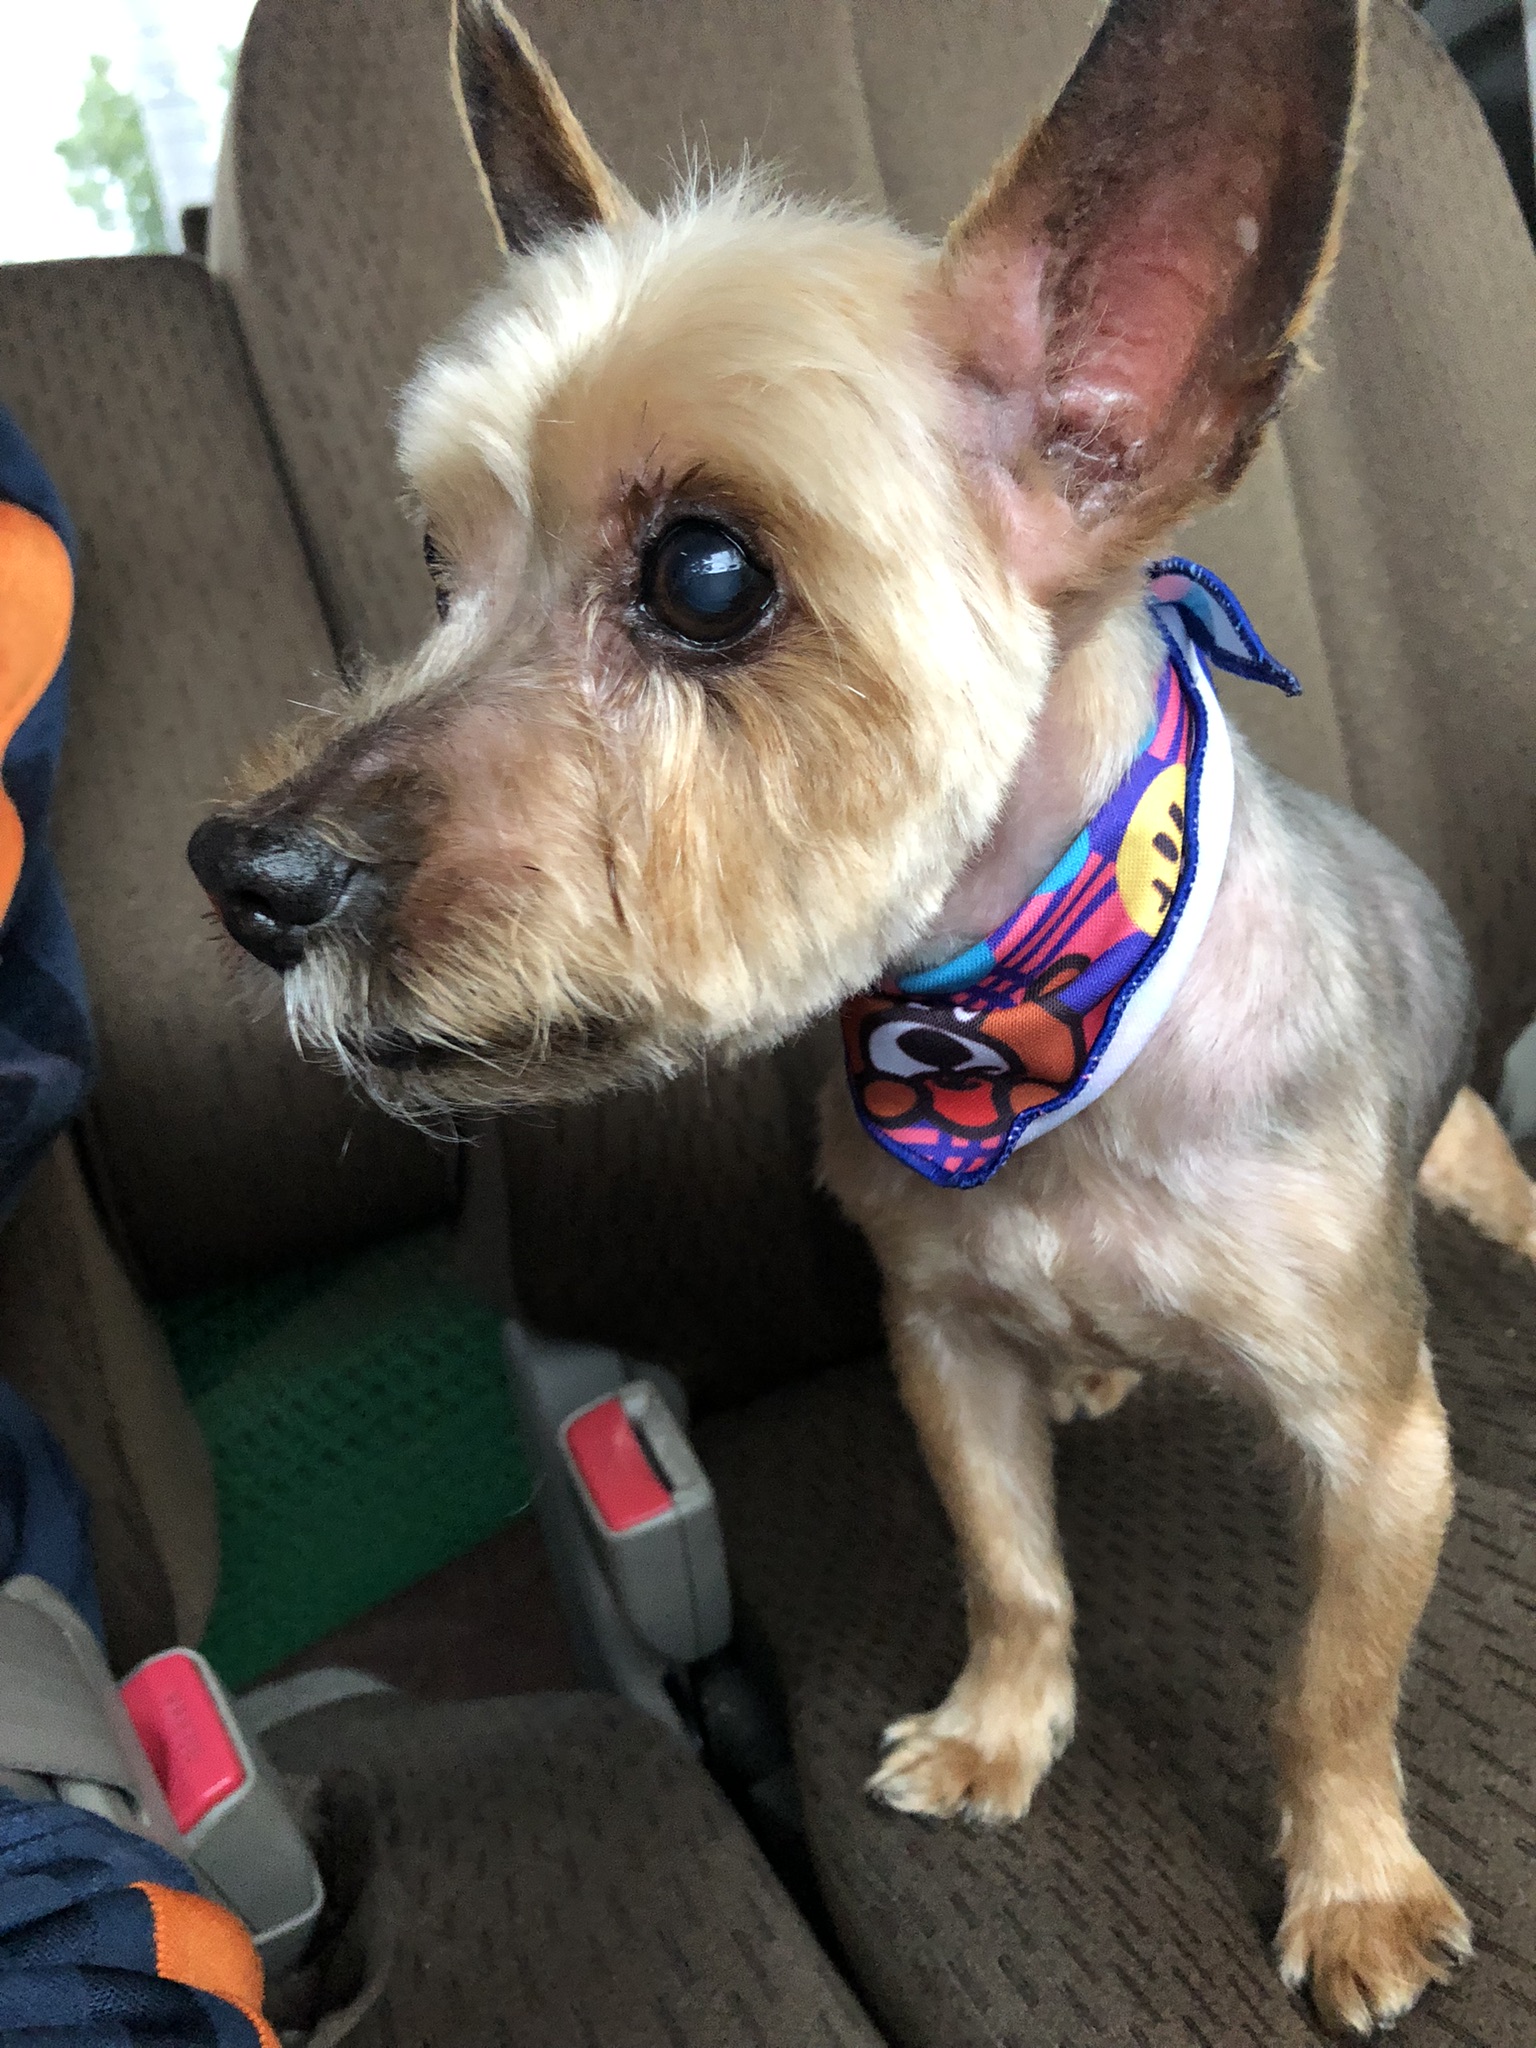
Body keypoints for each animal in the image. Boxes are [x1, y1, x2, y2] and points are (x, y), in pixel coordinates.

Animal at [188, 0, 1536, 2027]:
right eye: (440, 564)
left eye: (707, 576)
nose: (244, 875)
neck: (1022, 1045)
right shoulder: (941, 1340)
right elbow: (1012, 1565)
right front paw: (1000, 1730)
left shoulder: (1381, 1442)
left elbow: (1333, 1687)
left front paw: (1357, 1884)